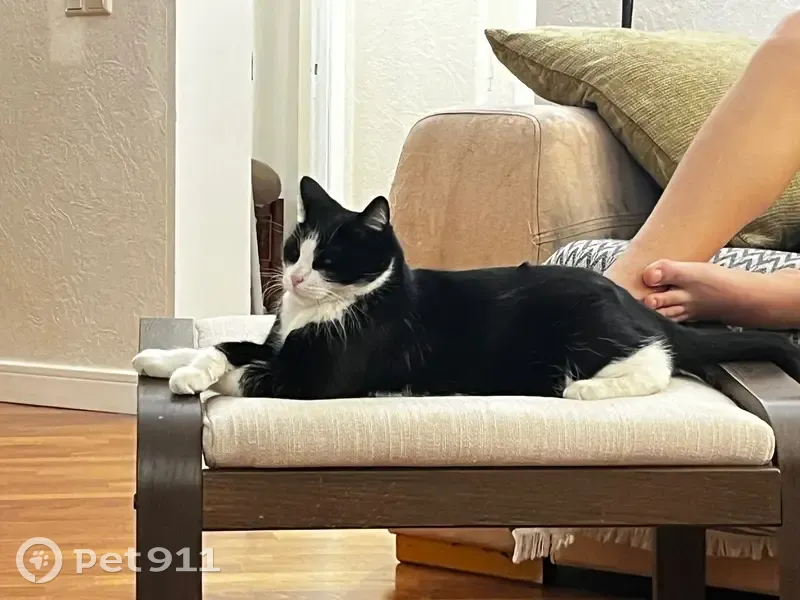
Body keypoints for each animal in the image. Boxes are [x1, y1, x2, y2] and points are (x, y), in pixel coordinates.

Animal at [133, 176, 800, 401]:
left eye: (331, 260)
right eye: (297, 248)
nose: (293, 276)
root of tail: (636, 303)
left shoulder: (317, 377)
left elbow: (246, 368)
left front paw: (193, 379)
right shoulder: (275, 340)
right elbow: (226, 345)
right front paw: (163, 359)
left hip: (594, 331)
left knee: (657, 361)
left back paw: (584, 389)